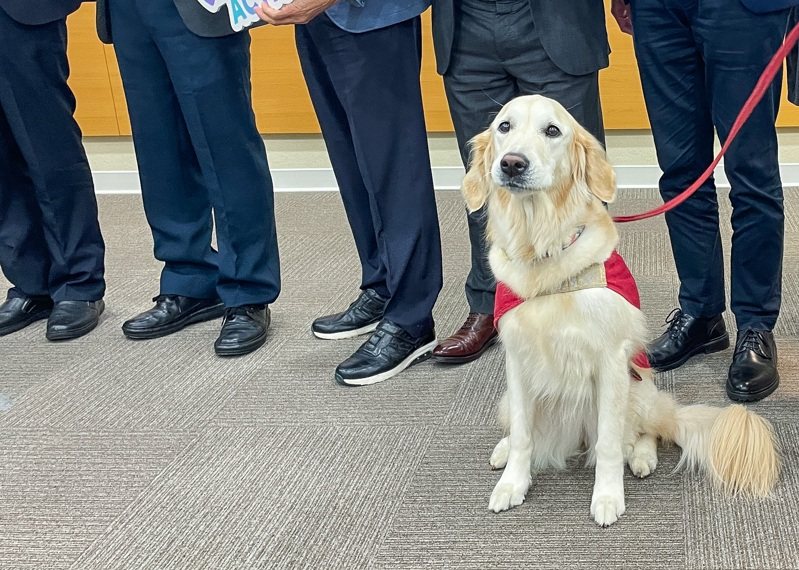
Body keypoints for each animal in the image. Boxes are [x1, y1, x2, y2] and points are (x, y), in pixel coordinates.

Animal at [462, 93, 780, 524]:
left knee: (644, 432)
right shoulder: (518, 359)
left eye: (552, 130)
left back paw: (641, 456)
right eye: (504, 127)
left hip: (639, 389)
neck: (542, 249)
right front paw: (512, 483)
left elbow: (609, 443)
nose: (512, 163)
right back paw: (503, 447)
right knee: (518, 425)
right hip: (509, 398)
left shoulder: (610, 362)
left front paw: (608, 496)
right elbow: (525, 435)